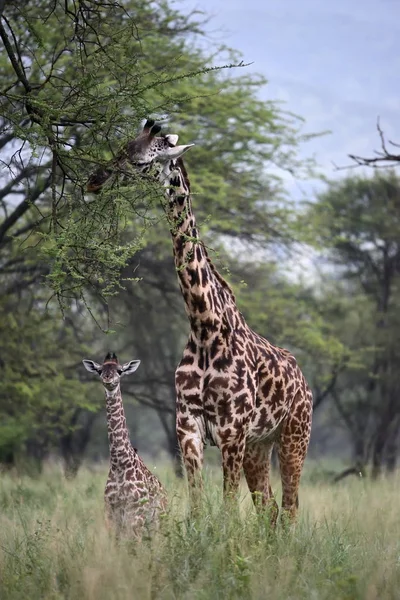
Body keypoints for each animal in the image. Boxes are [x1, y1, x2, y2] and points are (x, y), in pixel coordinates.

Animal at [83, 352, 167, 540]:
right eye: (100, 370)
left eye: (120, 371)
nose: (108, 379)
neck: (119, 462)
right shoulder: (111, 514)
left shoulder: (135, 514)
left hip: (158, 521)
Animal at [86, 119, 312, 524]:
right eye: (123, 146)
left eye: (140, 161)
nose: (94, 181)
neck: (205, 325)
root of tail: (304, 383)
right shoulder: (188, 427)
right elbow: (196, 507)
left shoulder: (231, 430)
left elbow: (226, 511)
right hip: (259, 445)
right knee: (269, 510)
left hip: (293, 438)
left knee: (288, 510)